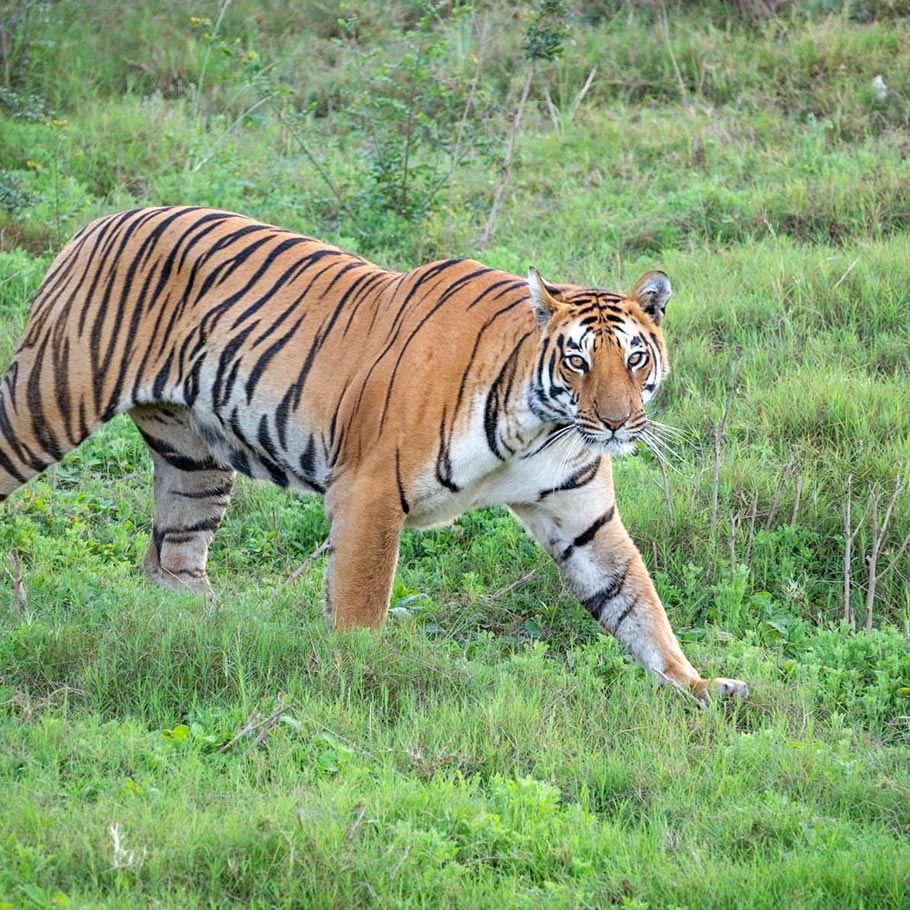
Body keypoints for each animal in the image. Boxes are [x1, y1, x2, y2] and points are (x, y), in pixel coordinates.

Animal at [0, 207, 748, 700]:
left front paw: (700, 687)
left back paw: (207, 639)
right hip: (48, 401)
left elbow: (637, 606)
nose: (619, 423)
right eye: (577, 362)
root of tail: (101, 219)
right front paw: (359, 682)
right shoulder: (369, 491)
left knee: (173, 562)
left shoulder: (582, 518)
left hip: (193, 462)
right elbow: (361, 604)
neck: (540, 426)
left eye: (634, 357)